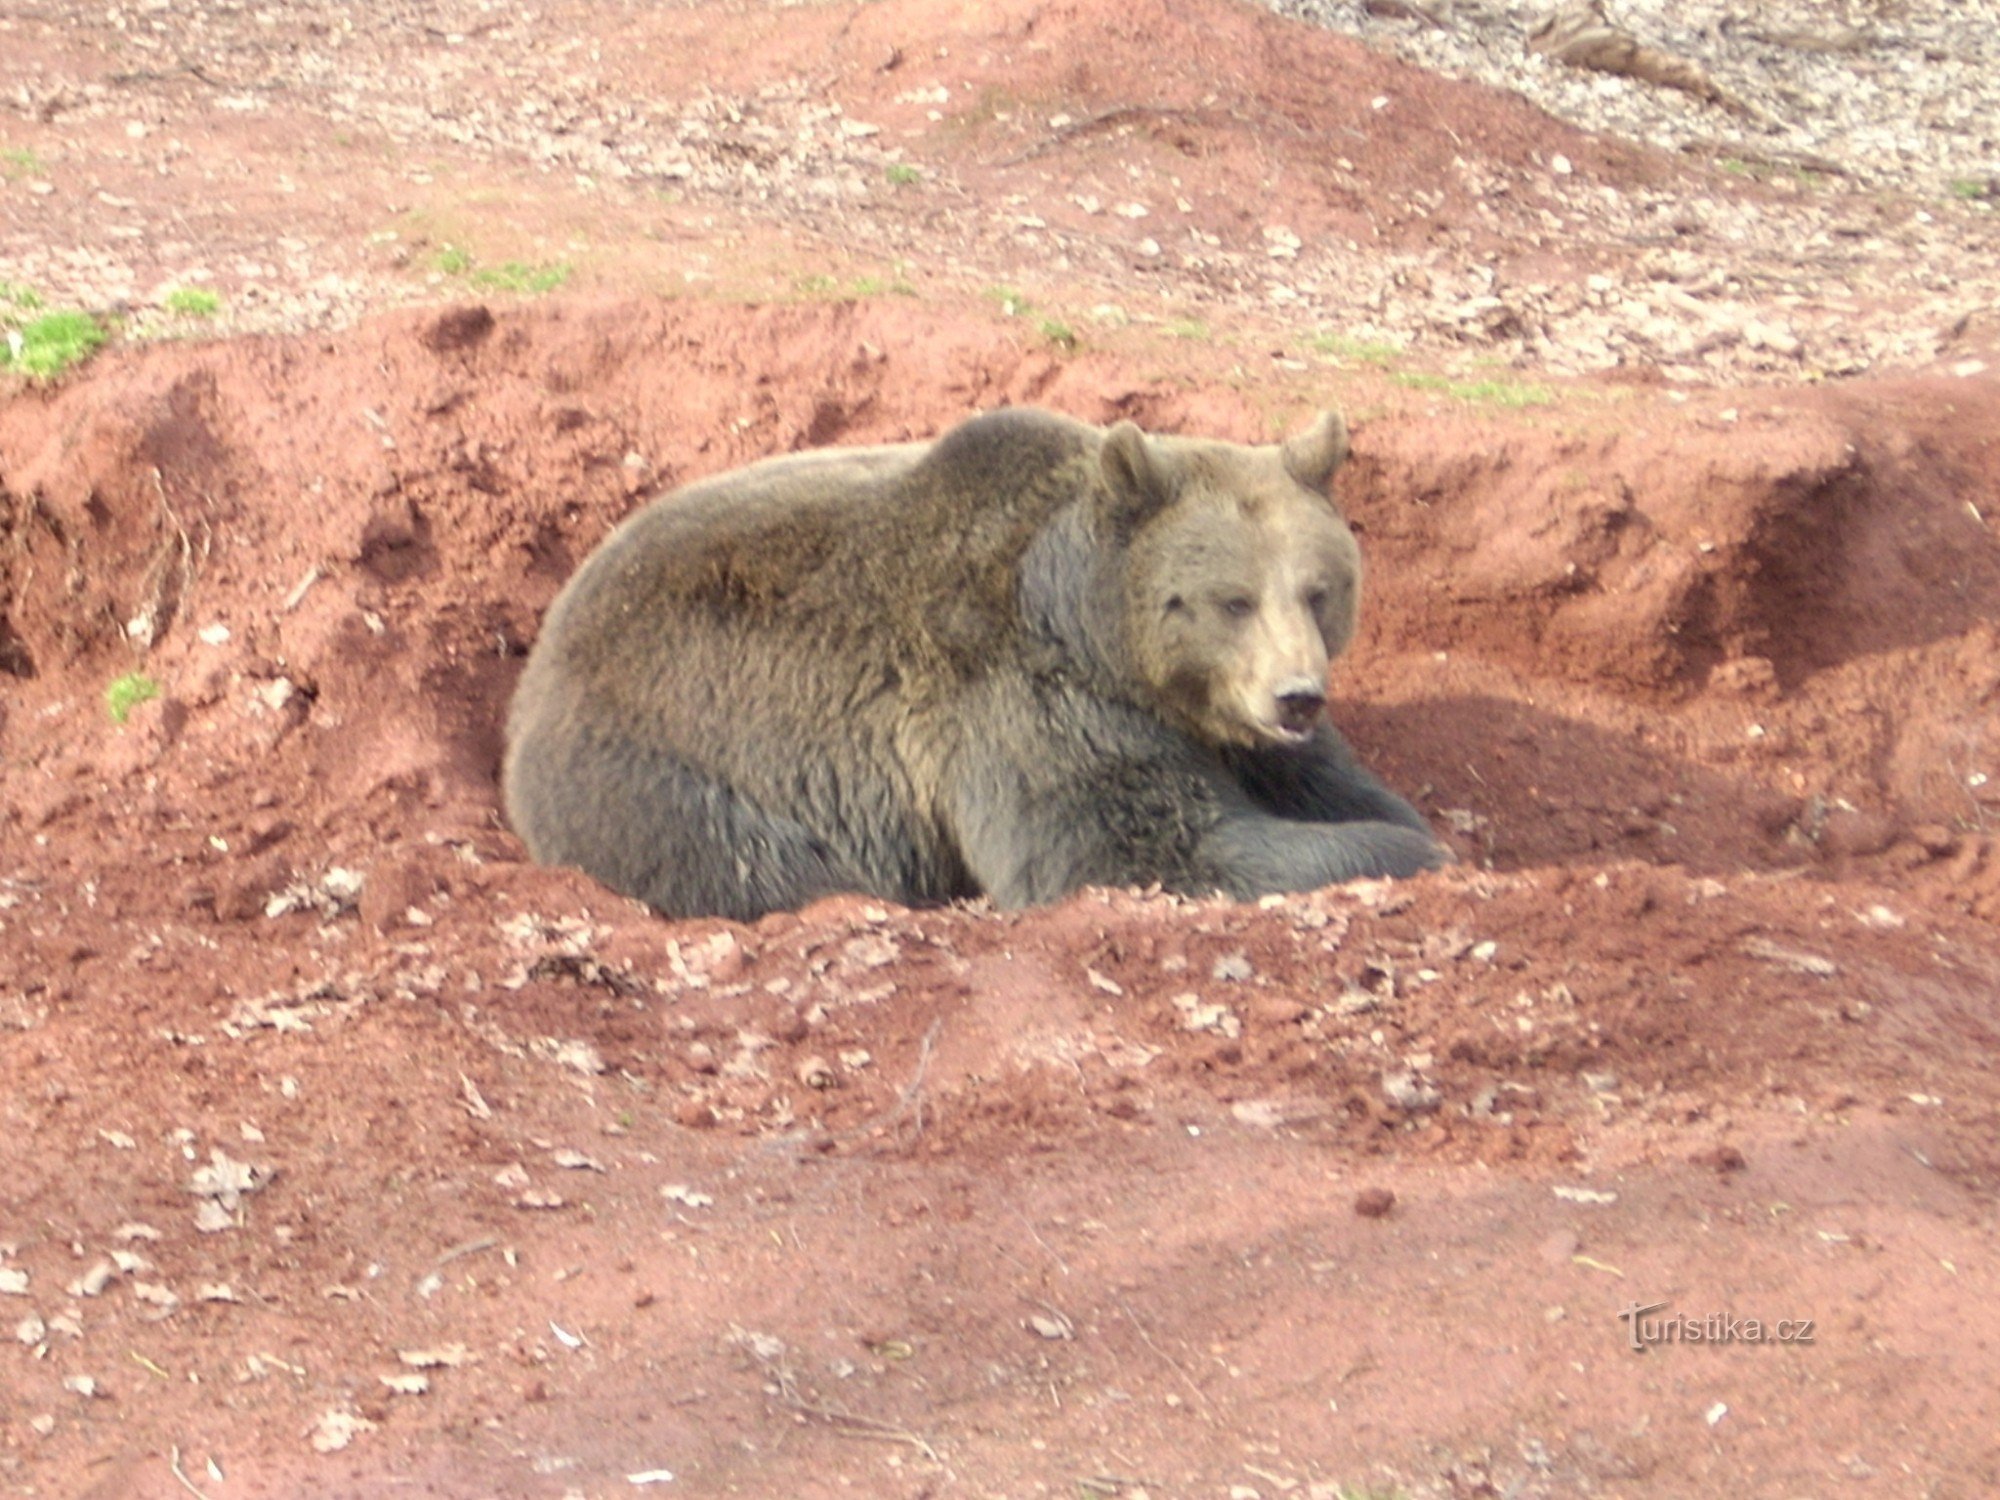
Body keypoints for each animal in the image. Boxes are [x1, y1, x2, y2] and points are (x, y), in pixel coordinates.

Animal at [500, 412, 1440, 928]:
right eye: (1232, 599)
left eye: (1319, 589)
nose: (1296, 696)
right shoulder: (1020, 696)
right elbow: (1134, 846)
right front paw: (1403, 850)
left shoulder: (1232, 730)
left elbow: (1326, 782)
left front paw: (1406, 823)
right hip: (668, 758)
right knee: (754, 861)